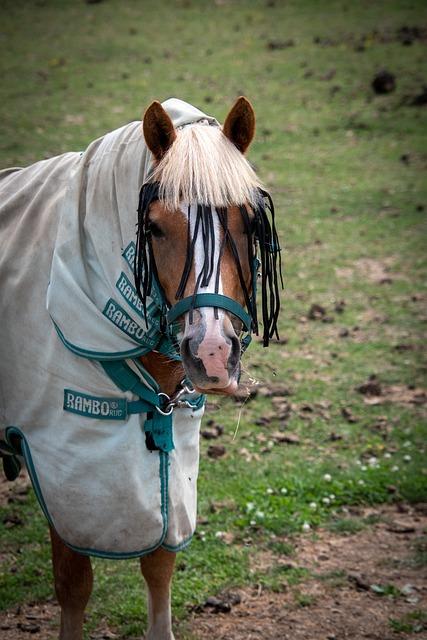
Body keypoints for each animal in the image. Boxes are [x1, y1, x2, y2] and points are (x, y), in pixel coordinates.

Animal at [0, 96, 280, 640]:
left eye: (247, 223)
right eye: (153, 227)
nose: (211, 353)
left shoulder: (169, 462)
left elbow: (159, 565)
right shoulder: (64, 469)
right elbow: (74, 583)